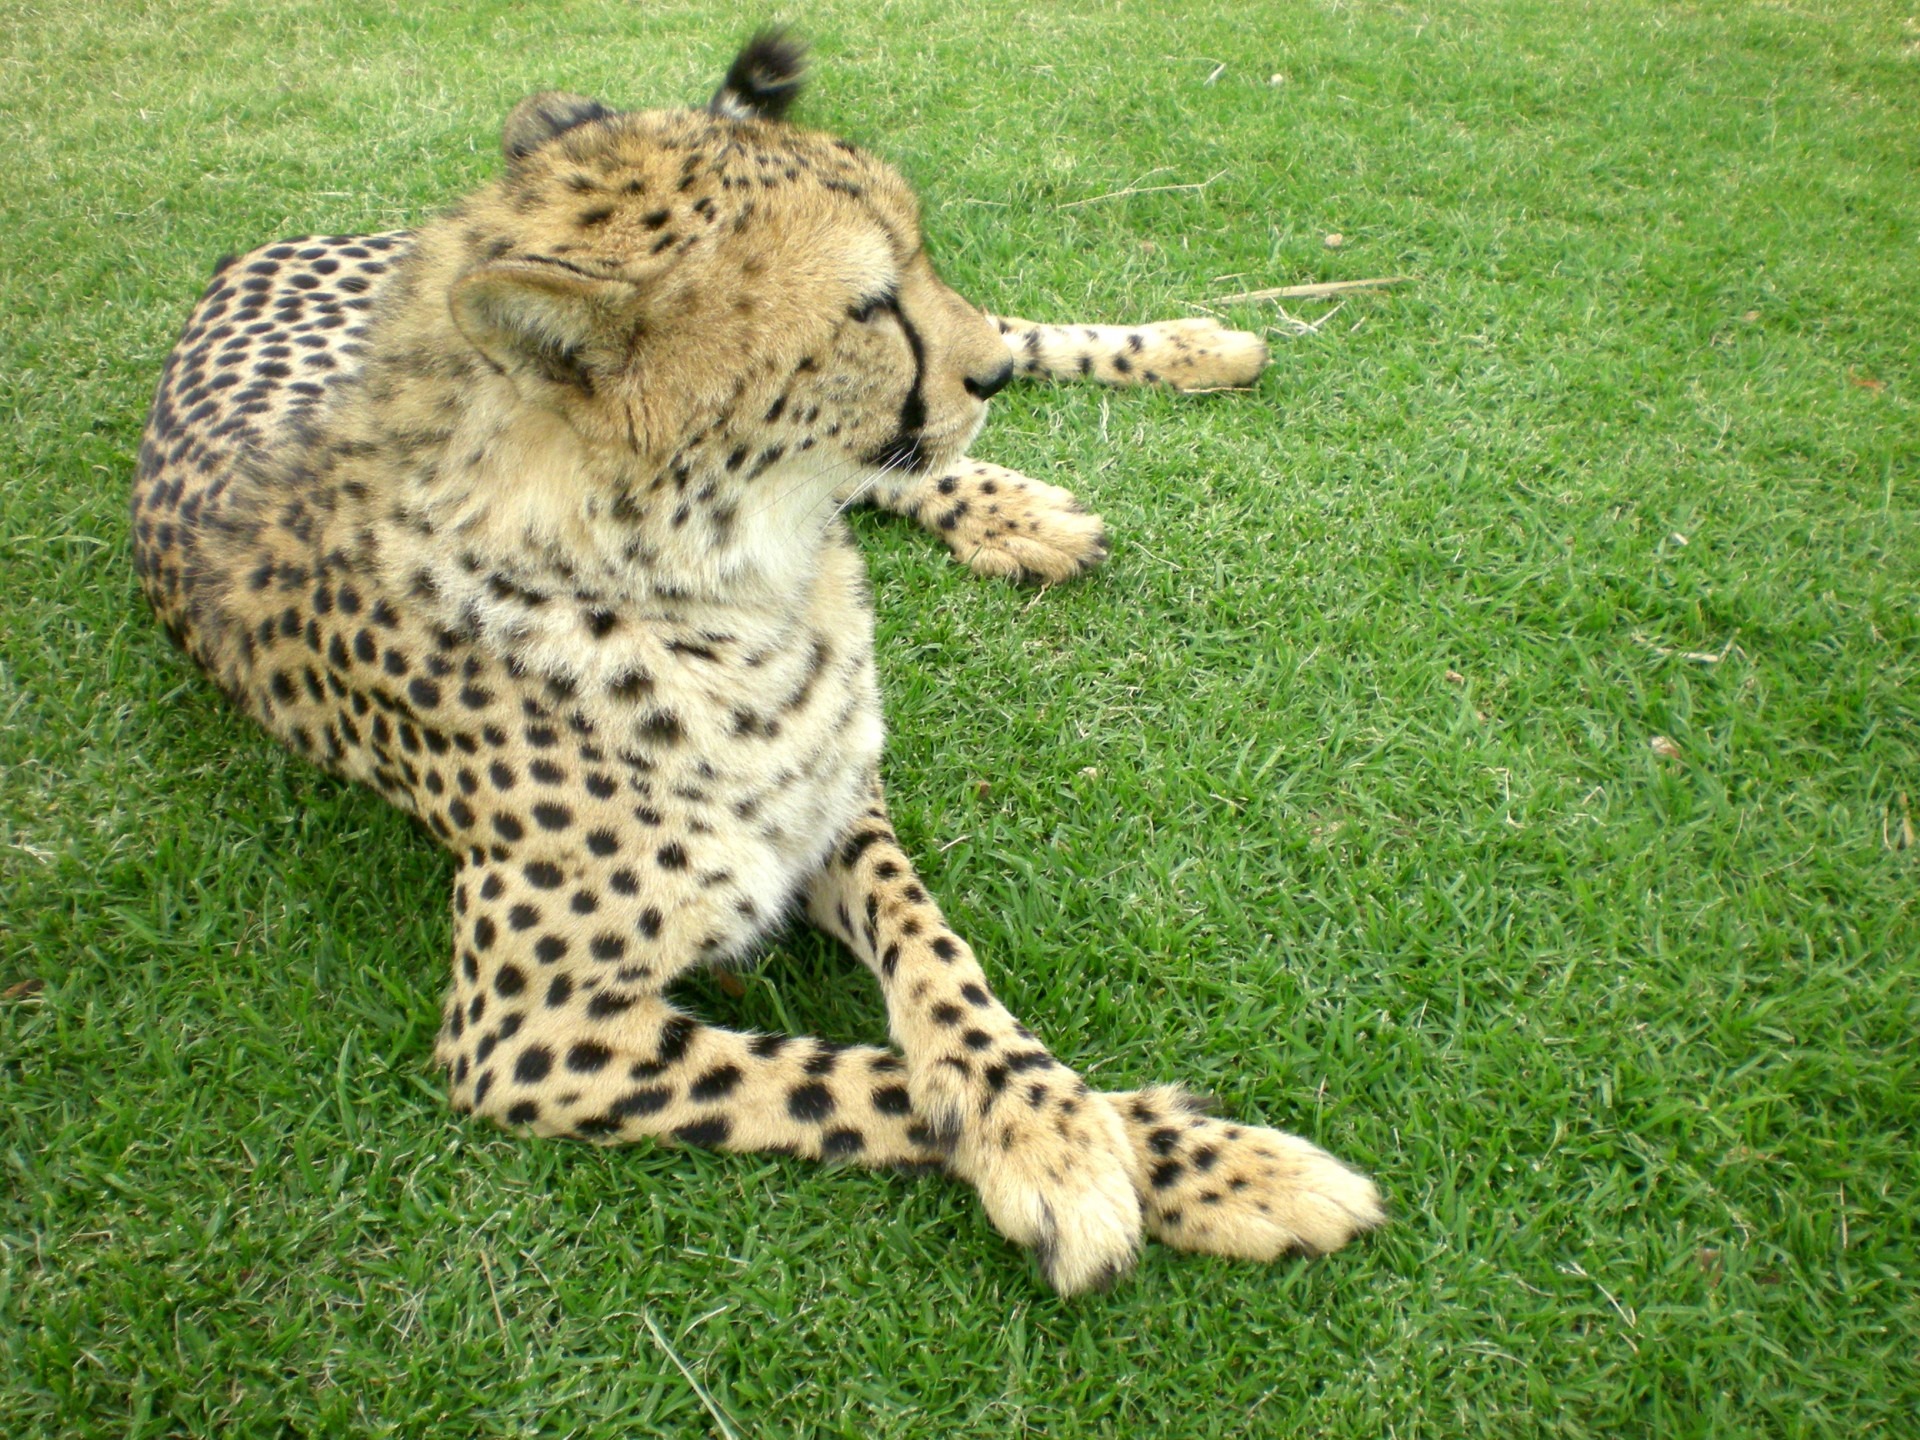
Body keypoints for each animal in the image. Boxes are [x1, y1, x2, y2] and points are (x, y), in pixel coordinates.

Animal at [131, 30, 1382, 1297]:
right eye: (869, 308)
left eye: (915, 261)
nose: (981, 380)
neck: (705, 575)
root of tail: (268, 246)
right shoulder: (527, 1036)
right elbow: (841, 1080)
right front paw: (1120, 1150)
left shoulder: (839, 794)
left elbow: (939, 956)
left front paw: (1088, 1126)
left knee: (968, 386)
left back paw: (1182, 359)